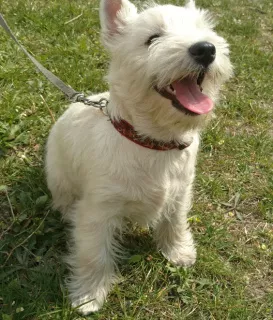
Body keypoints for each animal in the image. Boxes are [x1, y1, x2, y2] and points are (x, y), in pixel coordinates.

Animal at [45, 0, 232, 316]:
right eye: (152, 38)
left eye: (202, 30)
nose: (206, 49)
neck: (154, 143)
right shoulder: (98, 210)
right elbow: (94, 253)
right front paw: (88, 296)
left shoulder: (180, 191)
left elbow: (174, 222)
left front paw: (179, 252)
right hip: (59, 175)